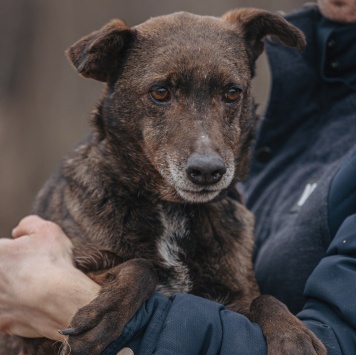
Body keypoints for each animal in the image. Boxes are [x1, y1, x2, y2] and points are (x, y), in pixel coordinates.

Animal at [0, 6, 326, 354]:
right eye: (160, 92)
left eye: (232, 92)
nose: (208, 170)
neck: (173, 209)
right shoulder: (46, 313)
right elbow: (141, 268)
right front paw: (106, 313)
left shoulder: (236, 297)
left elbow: (265, 298)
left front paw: (294, 335)